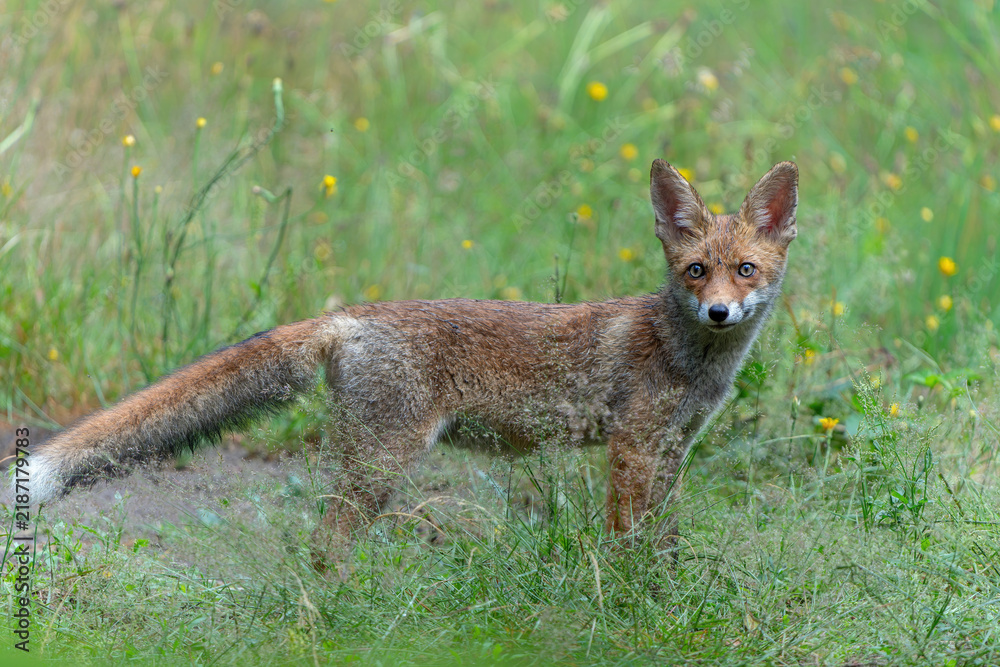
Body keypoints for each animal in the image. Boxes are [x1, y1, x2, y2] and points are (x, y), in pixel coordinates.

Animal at [22, 159, 798, 564]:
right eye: (696, 271)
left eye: (745, 271)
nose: (719, 312)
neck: (688, 357)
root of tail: (350, 314)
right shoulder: (633, 448)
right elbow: (629, 543)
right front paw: (633, 601)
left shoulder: (670, 450)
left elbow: (664, 542)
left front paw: (661, 590)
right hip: (382, 461)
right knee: (323, 547)